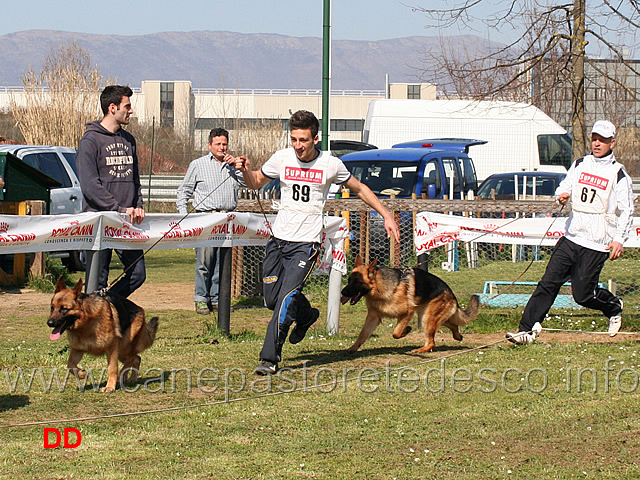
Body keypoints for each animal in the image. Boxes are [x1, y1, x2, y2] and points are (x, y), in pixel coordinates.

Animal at [342, 255, 478, 352]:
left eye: (357, 282)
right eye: (349, 280)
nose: (342, 293)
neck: (381, 288)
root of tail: (451, 294)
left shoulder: (407, 313)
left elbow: (396, 333)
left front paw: (406, 330)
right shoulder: (373, 317)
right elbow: (363, 334)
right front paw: (353, 348)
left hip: (427, 319)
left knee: (432, 342)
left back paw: (421, 350)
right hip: (428, 317)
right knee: (453, 325)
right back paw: (458, 336)